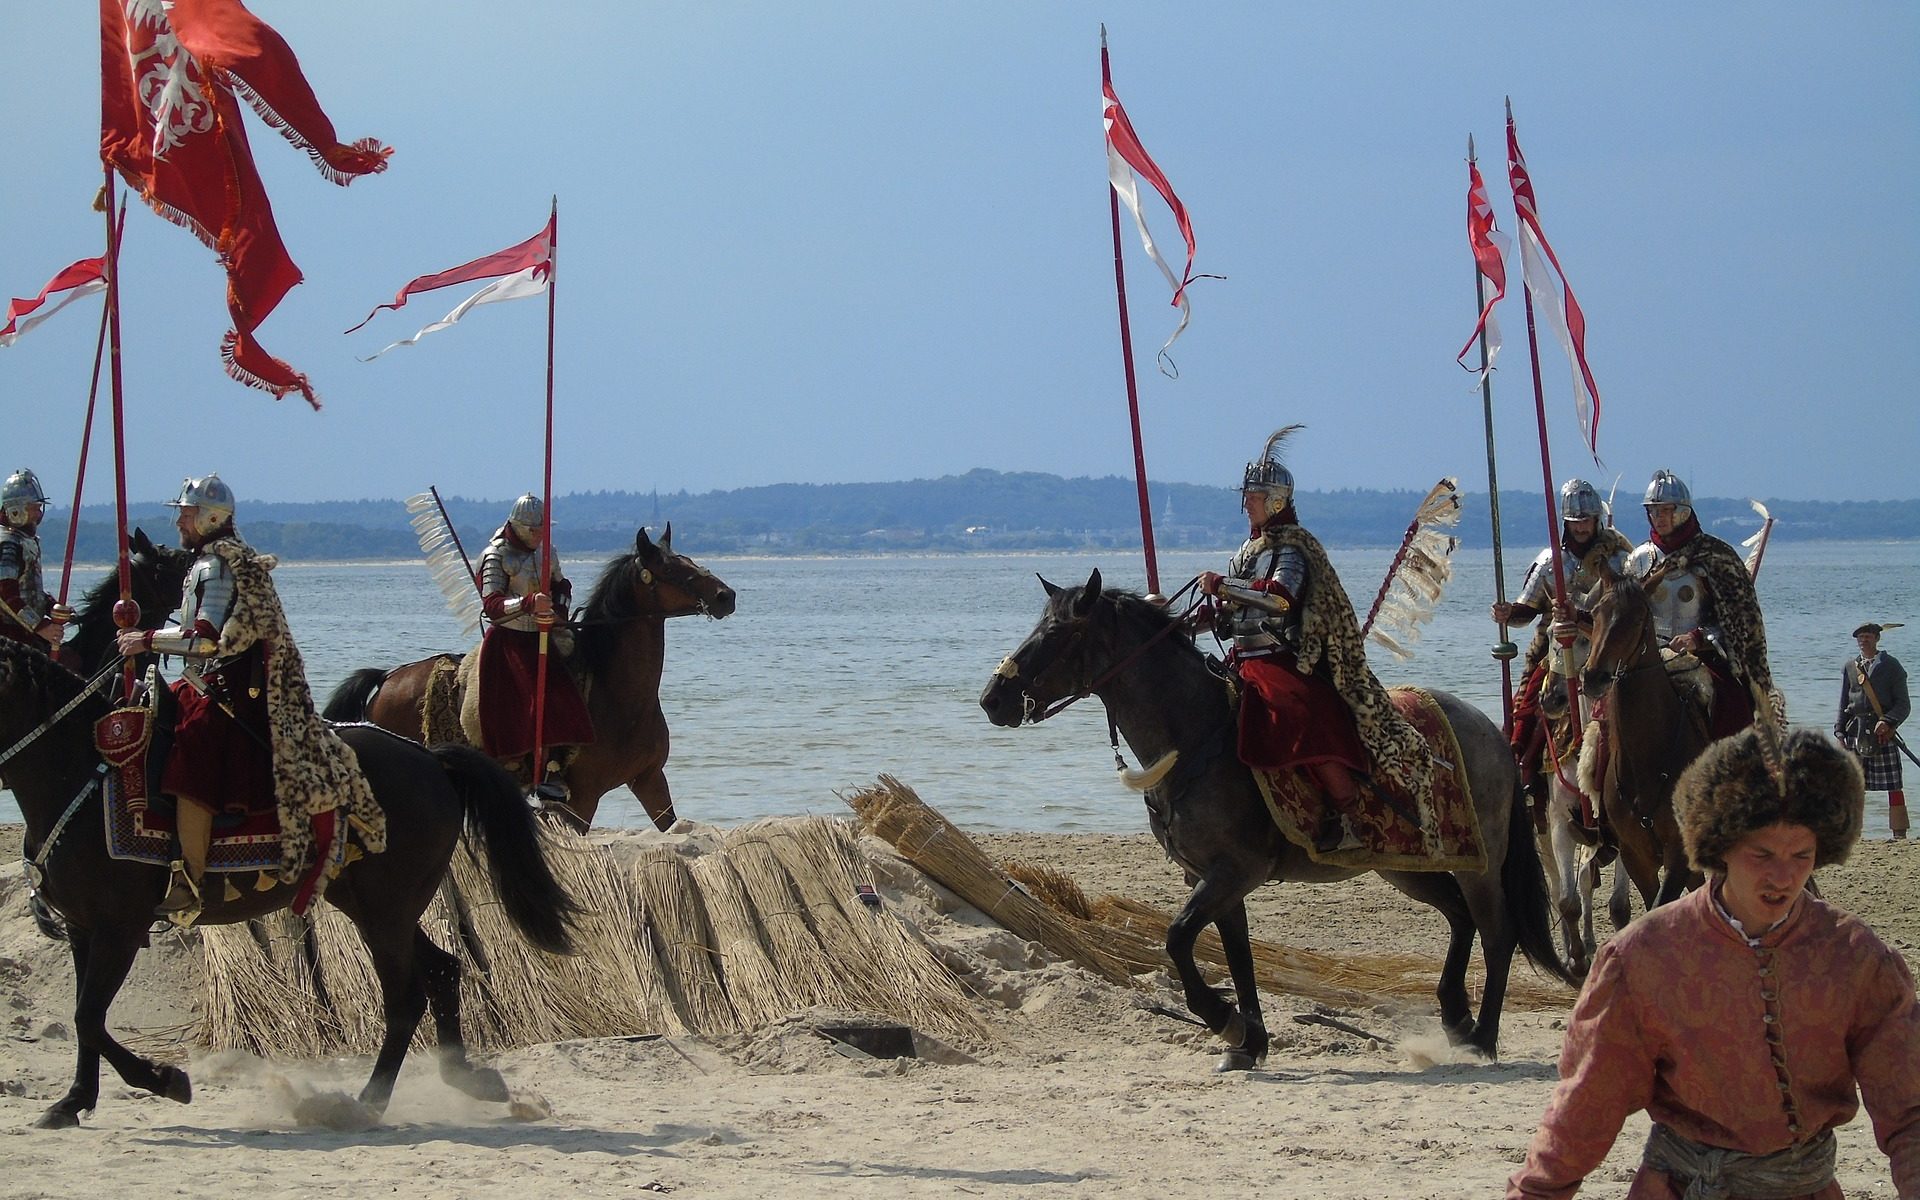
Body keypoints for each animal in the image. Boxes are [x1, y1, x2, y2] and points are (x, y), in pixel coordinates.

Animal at [1, 641, 583, 1128]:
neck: (80, 772)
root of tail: (430, 759)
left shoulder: (119, 929)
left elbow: (89, 1017)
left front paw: (165, 1080)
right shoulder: (84, 929)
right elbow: (86, 1018)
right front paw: (74, 1101)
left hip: (386, 912)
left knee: (406, 997)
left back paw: (366, 1103)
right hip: (375, 907)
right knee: (443, 970)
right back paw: (467, 1079)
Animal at [322, 522, 725, 821]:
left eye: (689, 560)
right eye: (670, 569)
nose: (726, 596)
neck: (617, 694)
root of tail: (388, 678)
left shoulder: (650, 781)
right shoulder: (580, 800)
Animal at [983, 564, 1566, 1059]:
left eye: (1057, 633)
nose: (993, 698)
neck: (1199, 735)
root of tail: (1493, 731)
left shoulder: (1234, 871)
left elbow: (1178, 938)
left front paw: (1224, 1020)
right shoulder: (1213, 877)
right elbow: (1236, 954)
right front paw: (1248, 1040)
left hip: (1480, 862)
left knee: (1498, 931)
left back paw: (1483, 1037)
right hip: (1406, 863)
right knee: (1461, 918)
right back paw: (1455, 1016)